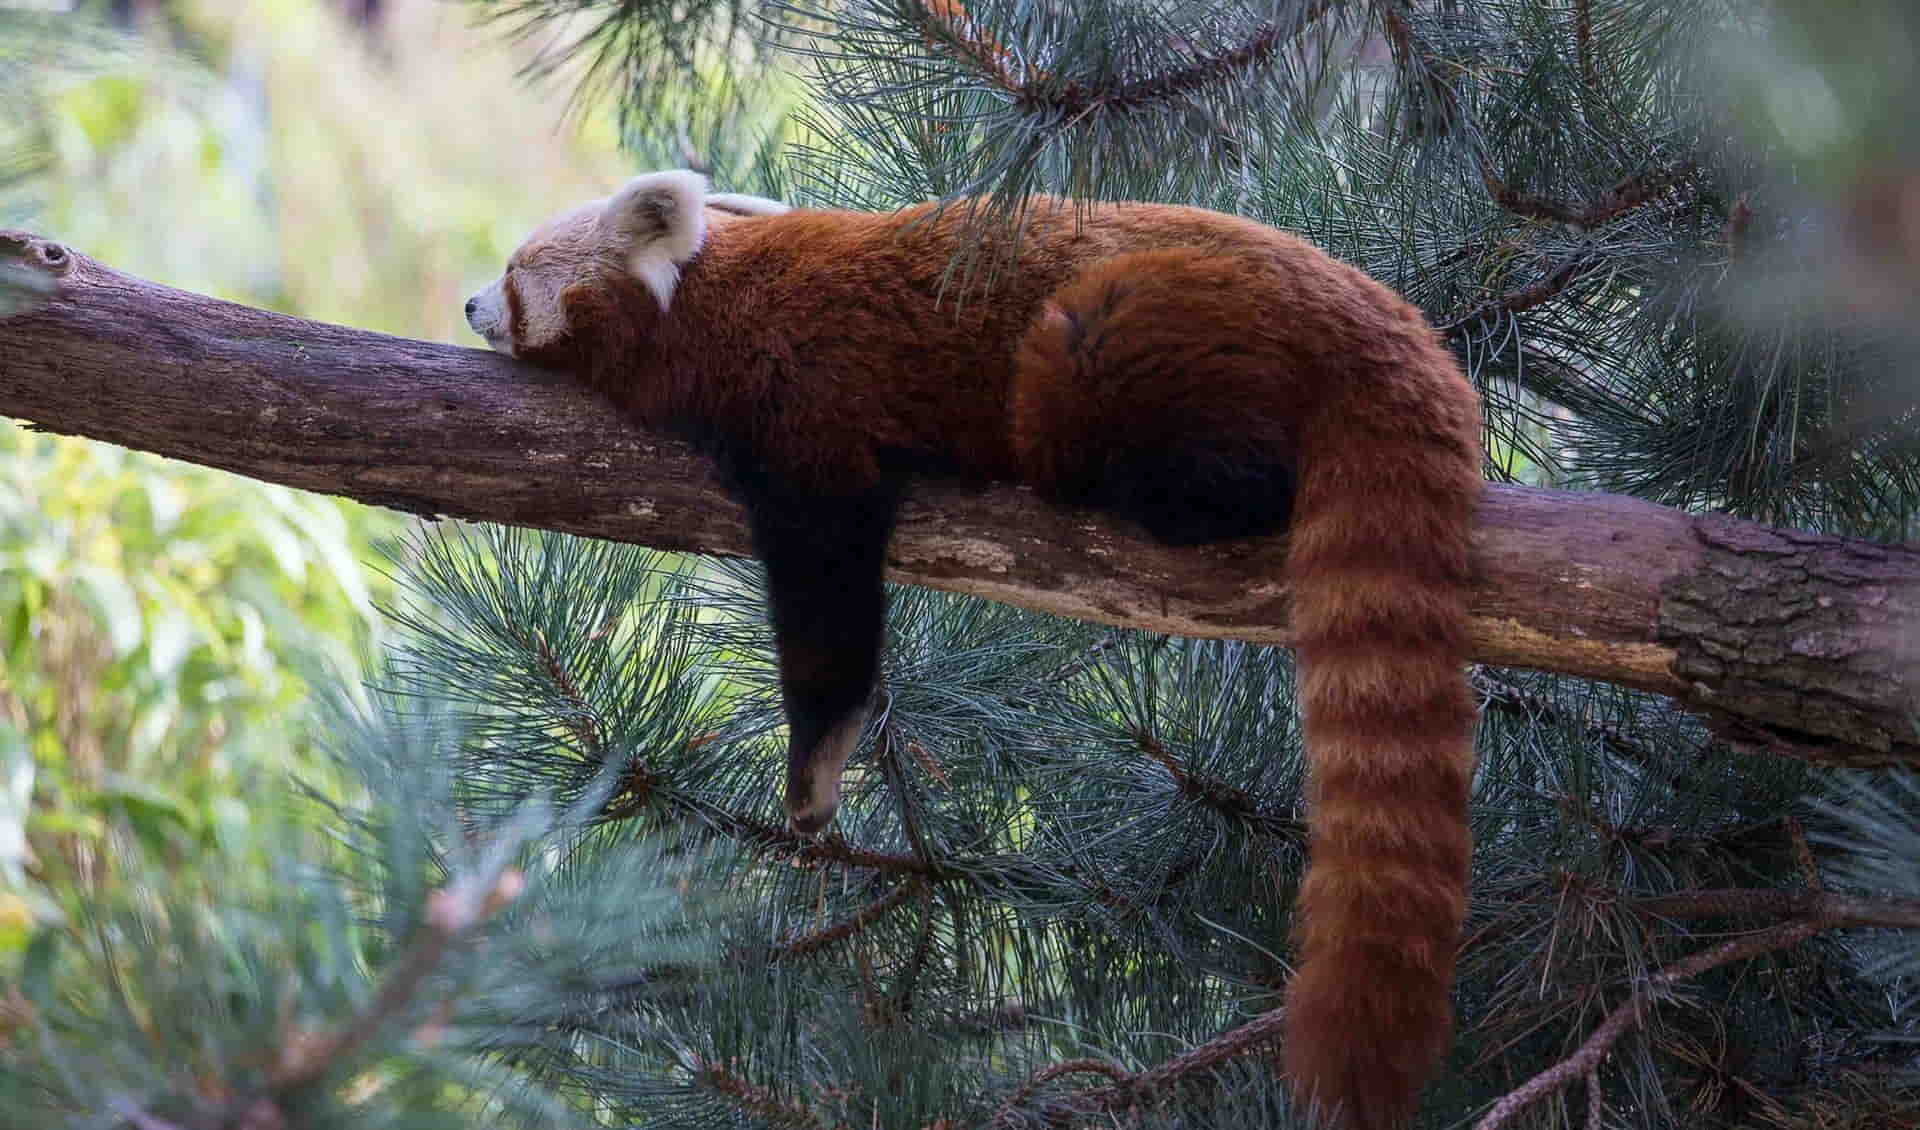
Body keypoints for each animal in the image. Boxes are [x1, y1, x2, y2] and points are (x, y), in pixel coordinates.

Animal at [464, 169, 1482, 1128]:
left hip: (1130, 327)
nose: (471, 305)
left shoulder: (803, 401)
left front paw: (816, 765)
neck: (704, 304)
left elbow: (829, 597)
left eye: (513, 272)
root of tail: (1381, 315)